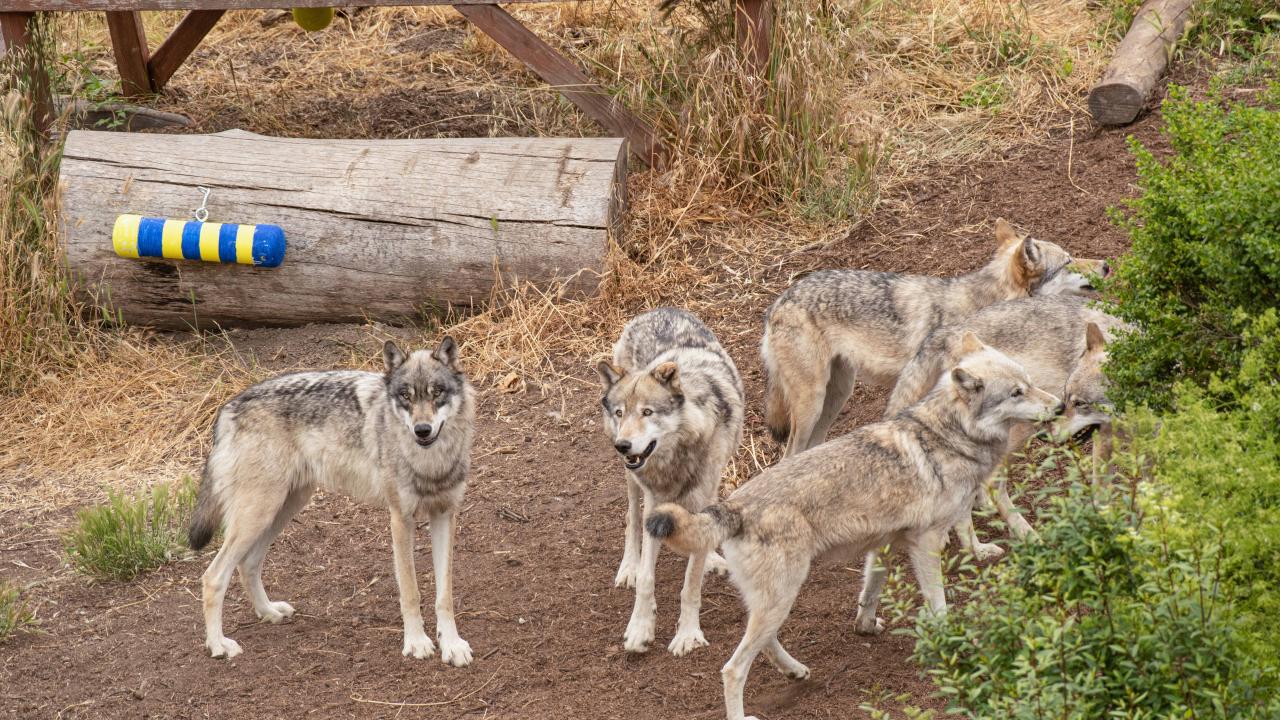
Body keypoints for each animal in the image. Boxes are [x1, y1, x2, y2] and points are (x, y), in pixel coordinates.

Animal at [194, 335, 481, 661]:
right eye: (405, 396)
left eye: (438, 393)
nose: (422, 430)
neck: (431, 463)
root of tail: (227, 408)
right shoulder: (400, 520)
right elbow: (410, 592)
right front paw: (417, 642)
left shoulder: (444, 514)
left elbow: (445, 595)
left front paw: (452, 645)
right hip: (259, 514)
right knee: (213, 577)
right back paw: (218, 644)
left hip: (282, 509)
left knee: (248, 564)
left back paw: (268, 612)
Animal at [596, 304, 747, 653]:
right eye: (620, 413)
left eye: (648, 412)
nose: (623, 445)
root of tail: (660, 309)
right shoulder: (654, 503)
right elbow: (647, 579)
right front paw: (640, 628)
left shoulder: (700, 497)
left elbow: (691, 585)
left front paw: (688, 634)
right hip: (631, 482)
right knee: (631, 519)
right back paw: (629, 567)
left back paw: (711, 558)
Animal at [650, 335, 1059, 717]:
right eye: (1017, 392)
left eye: (1028, 382)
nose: (1058, 405)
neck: (948, 435)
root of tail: (732, 506)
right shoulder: (926, 542)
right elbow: (939, 603)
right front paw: (950, 642)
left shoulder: (886, 544)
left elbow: (871, 590)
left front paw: (865, 625)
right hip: (782, 596)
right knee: (733, 669)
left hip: (773, 602)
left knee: (763, 645)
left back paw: (795, 670)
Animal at [757, 215, 1100, 456]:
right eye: (1069, 262)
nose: (1107, 266)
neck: (983, 302)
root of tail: (779, 302)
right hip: (812, 403)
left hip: (836, 396)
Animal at [885, 294, 1126, 558]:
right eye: (1070, 399)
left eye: (1080, 403)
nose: (1045, 434)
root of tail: (953, 330)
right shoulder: (1103, 442)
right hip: (1019, 433)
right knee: (992, 485)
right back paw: (1024, 535)